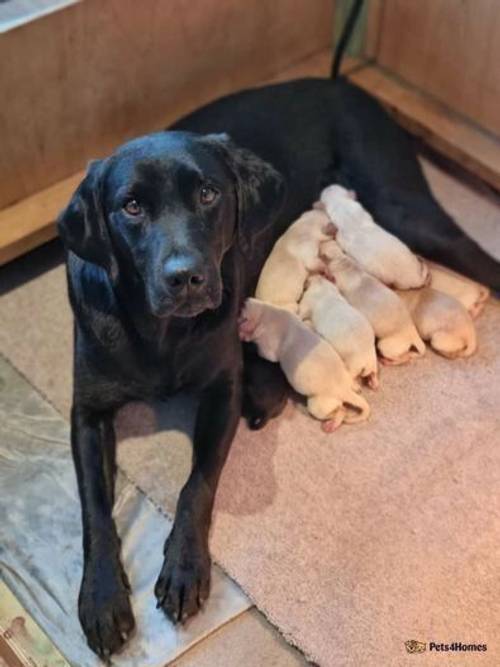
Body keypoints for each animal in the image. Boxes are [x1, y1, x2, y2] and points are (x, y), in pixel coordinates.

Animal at [238, 298, 372, 434]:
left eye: (241, 312)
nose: (244, 300)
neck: (265, 312)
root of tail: (345, 390)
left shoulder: (268, 350)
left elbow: (263, 351)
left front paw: (243, 336)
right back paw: (355, 386)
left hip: (317, 405)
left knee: (341, 411)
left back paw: (330, 424)